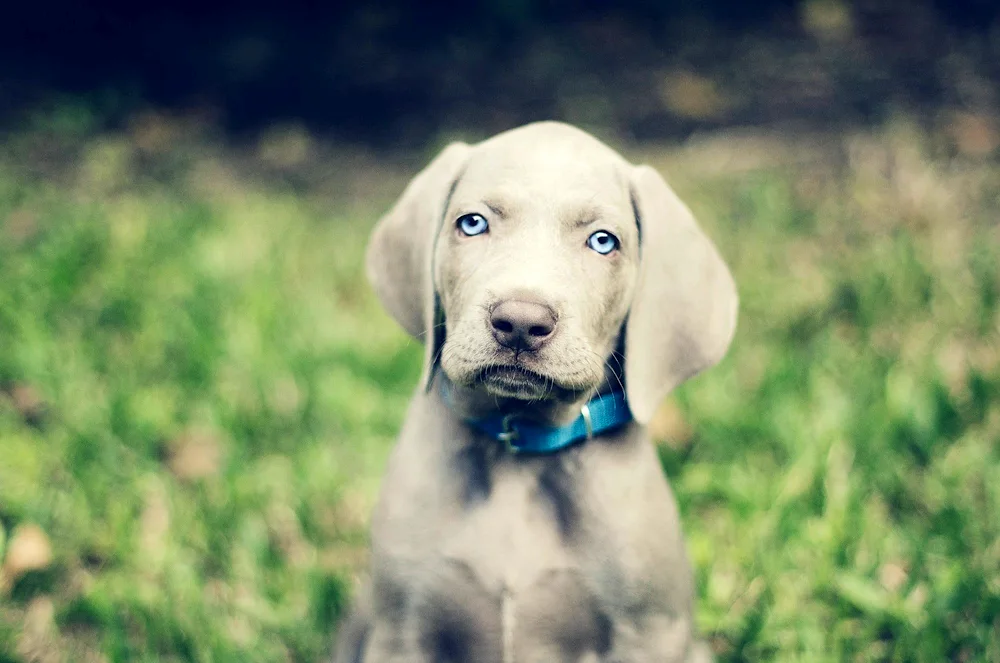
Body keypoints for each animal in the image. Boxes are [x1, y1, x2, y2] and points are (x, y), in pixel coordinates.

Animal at [336, 120, 736, 663]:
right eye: (472, 224)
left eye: (603, 241)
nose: (521, 323)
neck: (519, 450)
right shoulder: (401, 632)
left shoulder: (649, 633)